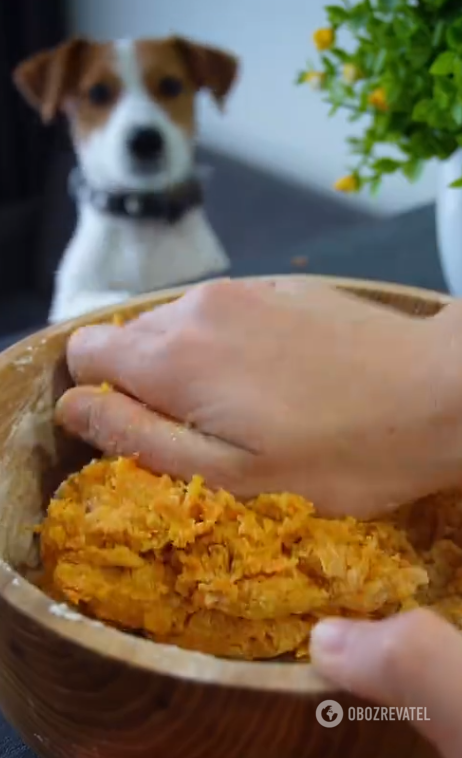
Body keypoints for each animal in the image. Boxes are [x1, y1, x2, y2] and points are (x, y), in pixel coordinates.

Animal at [14, 37, 238, 322]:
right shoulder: (70, 301)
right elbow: (114, 298)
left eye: (171, 85)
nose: (145, 140)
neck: (140, 219)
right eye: (98, 93)